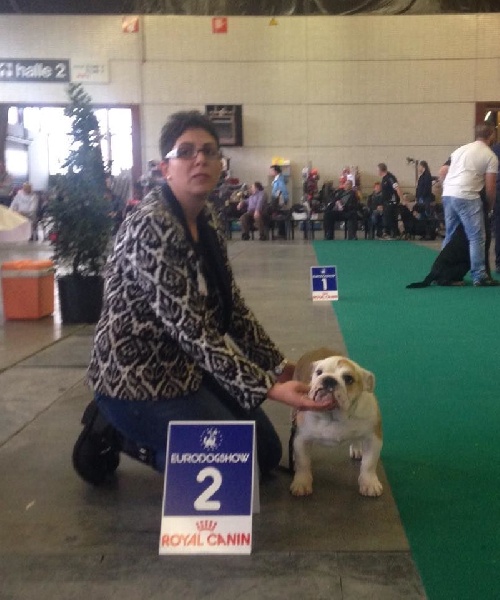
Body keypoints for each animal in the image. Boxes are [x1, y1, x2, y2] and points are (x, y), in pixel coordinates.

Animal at [289, 348, 383, 498]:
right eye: (319, 372)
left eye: (348, 379)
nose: (328, 379)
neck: (333, 415)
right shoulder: (301, 438)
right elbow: (303, 462)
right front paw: (302, 482)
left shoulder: (373, 438)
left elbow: (369, 463)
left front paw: (369, 483)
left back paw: (357, 448)